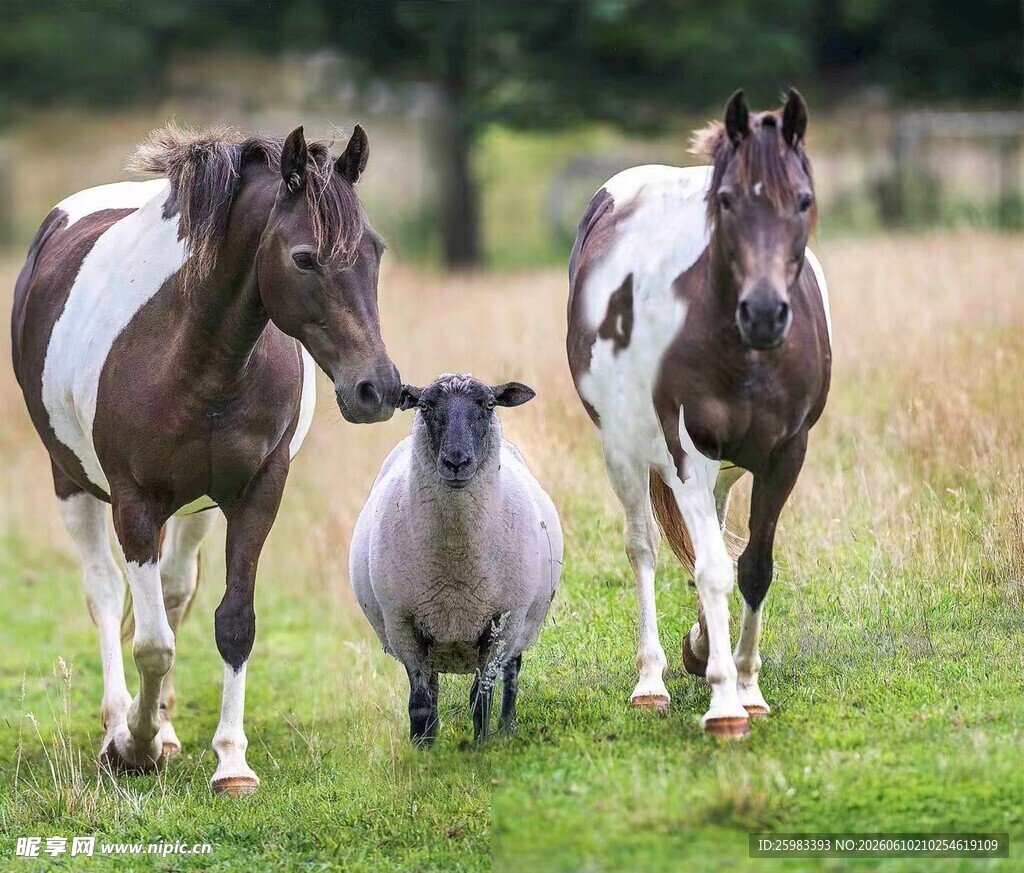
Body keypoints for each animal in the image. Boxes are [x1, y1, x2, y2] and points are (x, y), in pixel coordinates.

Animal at [10, 123, 401, 793]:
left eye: (373, 250)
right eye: (304, 257)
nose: (376, 389)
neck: (195, 353)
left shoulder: (257, 492)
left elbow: (233, 623)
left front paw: (230, 761)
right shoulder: (135, 500)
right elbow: (151, 644)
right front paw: (133, 744)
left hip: (196, 508)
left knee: (170, 590)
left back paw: (164, 728)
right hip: (72, 482)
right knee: (105, 591)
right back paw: (119, 725)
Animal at [567, 89, 832, 737]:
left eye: (803, 200)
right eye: (728, 201)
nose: (763, 313)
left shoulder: (785, 456)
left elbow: (753, 567)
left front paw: (747, 686)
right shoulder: (688, 453)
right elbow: (711, 567)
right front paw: (724, 704)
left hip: (728, 470)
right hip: (626, 453)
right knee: (643, 547)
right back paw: (651, 683)